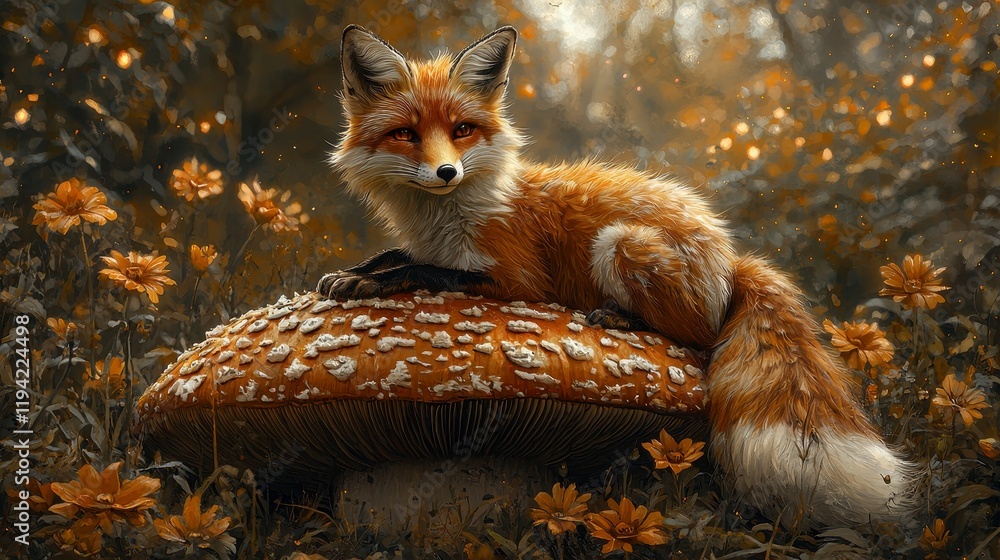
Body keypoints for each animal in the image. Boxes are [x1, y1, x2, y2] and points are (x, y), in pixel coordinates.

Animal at [318, 24, 914, 527]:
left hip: (620, 243)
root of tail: (730, 260)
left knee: (698, 338)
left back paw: (621, 317)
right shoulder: (433, 247)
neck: (446, 216)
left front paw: (370, 285)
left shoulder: (516, 278)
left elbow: (426, 272)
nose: (447, 172)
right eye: (406, 134)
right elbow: (396, 255)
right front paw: (353, 272)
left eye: (462, 130)